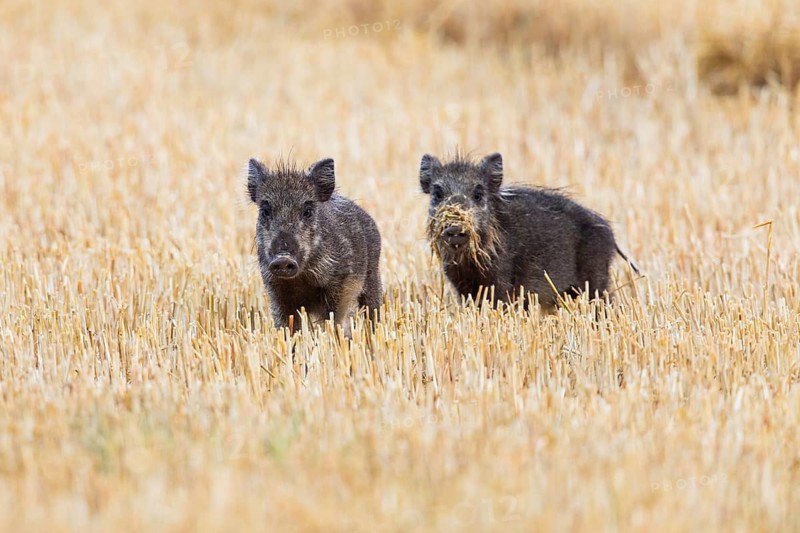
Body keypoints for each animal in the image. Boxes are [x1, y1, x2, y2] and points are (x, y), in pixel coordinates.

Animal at [248, 157, 382, 335]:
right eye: (265, 211)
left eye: (308, 211)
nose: (283, 258)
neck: (301, 279)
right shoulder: (275, 289)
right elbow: (286, 326)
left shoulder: (343, 284)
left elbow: (336, 320)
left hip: (373, 276)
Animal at [419, 152, 638, 309]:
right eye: (437, 194)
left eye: (479, 194)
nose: (455, 228)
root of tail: (609, 234)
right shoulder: (462, 285)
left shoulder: (500, 283)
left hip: (596, 283)